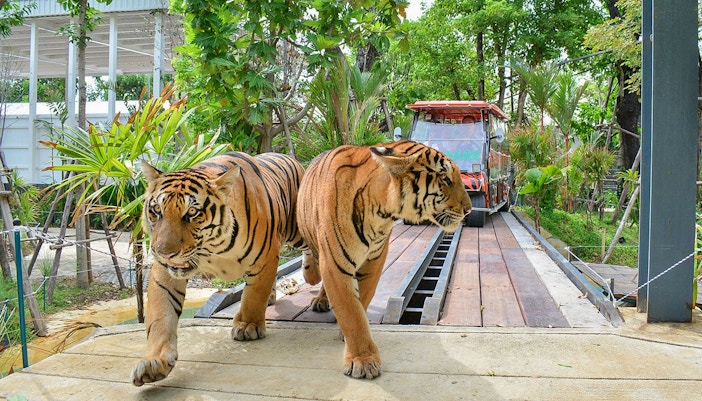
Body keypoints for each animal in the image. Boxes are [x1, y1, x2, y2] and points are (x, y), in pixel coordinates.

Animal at [131, 152, 305, 386]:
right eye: (157, 210)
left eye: (192, 212)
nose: (164, 253)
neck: (212, 248)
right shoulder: (164, 273)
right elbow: (161, 316)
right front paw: (153, 361)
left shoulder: (266, 256)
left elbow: (253, 295)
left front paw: (248, 325)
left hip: (301, 231)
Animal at [296, 140, 472, 379]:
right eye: (445, 178)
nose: (469, 209)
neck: (381, 212)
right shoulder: (334, 263)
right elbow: (351, 311)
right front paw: (363, 360)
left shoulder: (374, 260)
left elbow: (361, 301)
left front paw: (353, 342)